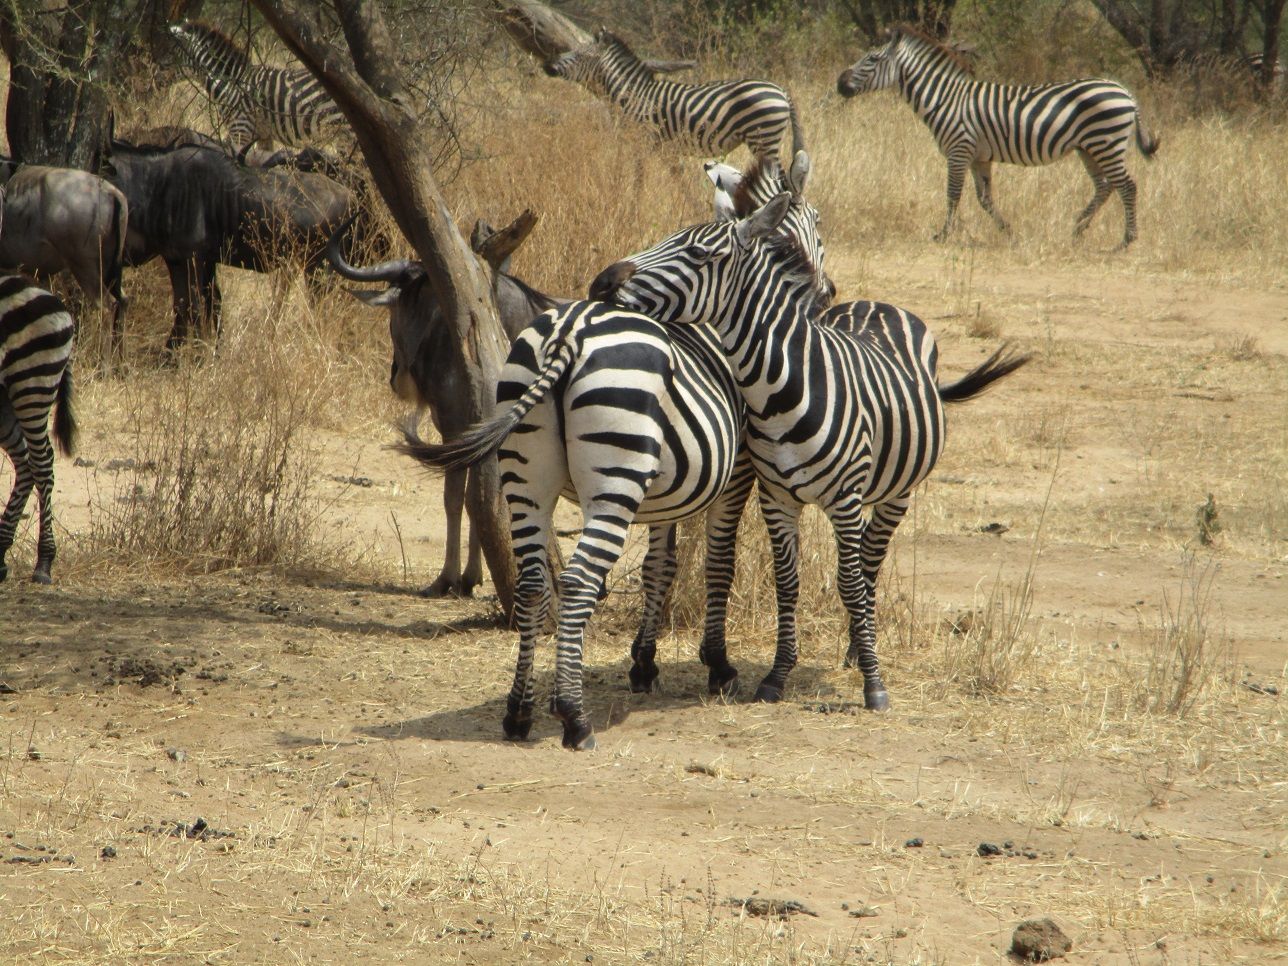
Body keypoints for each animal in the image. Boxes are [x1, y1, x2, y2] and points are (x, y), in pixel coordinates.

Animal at [168, 20, 345, 151]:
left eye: (169, 50)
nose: (161, 79)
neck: (230, 84)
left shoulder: (240, 130)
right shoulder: (263, 136)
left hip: (340, 128)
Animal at [546, 29, 803, 166]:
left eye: (580, 56)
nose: (546, 66)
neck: (633, 95)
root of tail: (781, 91)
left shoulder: (642, 143)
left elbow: (636, 183)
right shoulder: (666, 150)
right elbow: (680, 182)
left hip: (764, 140)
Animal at [589, 153, 1030, 710]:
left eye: (696, 252)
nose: (601, 284)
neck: (780, 387)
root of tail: (879, 304)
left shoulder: (828, 496)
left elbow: (840, 579)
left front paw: (873, 683)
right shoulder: (773, 496)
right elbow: (783, 580)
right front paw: (772, 675)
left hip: (897, 491)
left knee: (868, 563)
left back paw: (855, 650)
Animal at [839, 26, 1164, 249]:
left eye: (872, 59)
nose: (839, 83)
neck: (945, 98)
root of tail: (1125, 92)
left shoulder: (959, 150)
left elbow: (952, 195)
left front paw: (942, 235)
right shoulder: (978, 157)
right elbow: (985, 199)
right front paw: (1008, 232)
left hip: (1105, 142)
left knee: (1127, 186)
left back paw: (1126, 240)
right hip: (1089, 147)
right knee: (1105, 186)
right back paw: (1077, 228)